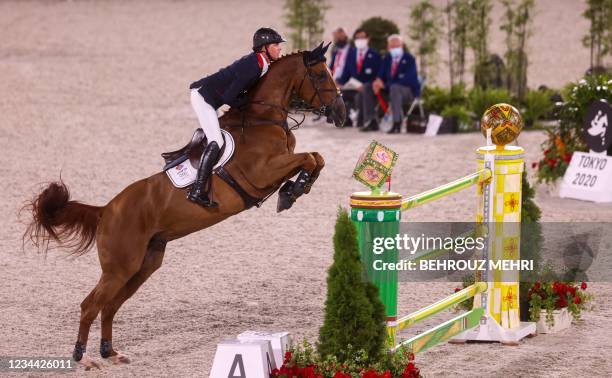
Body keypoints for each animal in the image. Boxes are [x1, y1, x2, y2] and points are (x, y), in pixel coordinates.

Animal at [22, 43, 344, 370]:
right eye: (320, 74)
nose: (341, 113)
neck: (262, 119)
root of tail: (106, 210)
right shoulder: (263, 172)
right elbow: (309, 158)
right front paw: (291, 192)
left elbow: (316, 158)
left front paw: (294, 190)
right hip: (119, 268)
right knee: (90, 305)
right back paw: (84, 357)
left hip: (143, 265)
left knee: (109, 307)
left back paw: (110, 352)